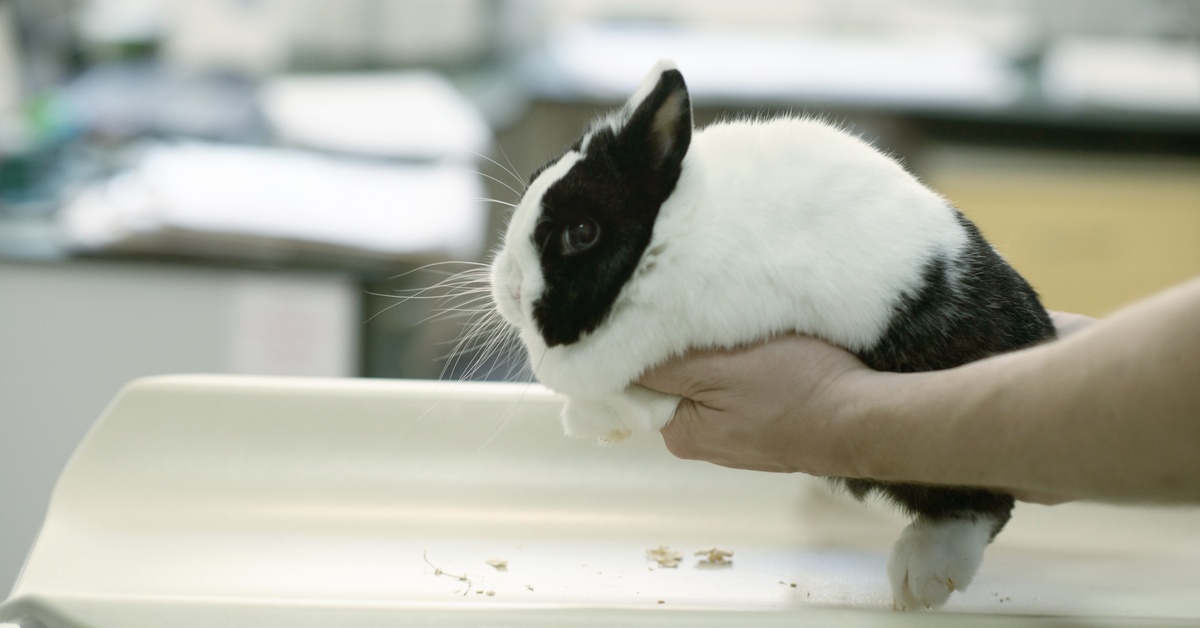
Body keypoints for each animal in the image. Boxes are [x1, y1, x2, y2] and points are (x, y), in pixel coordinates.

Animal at [489, 59, 1055, 610]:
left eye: (581, 233)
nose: (508, 285)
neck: (671, 231)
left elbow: (633, 397)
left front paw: (589, 423)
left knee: (980, 503)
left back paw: (923, 576)